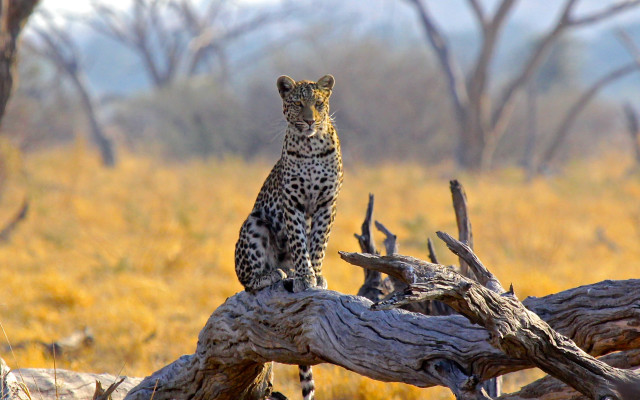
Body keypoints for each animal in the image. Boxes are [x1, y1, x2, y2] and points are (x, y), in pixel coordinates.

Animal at [234, 74, 342, 400]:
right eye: (297, 104)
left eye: (318, 104)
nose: (309, 121)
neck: (311, 146)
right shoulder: (291, 202)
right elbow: (298, 241)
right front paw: (306, 277)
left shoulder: (327, 203)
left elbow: (317, 243)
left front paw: (315, 275)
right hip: (255, 223)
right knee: (247, 281)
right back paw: (273, 274)